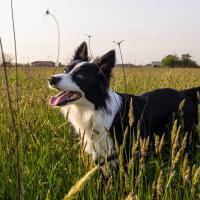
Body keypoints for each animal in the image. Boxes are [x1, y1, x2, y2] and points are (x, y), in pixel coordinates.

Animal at [48, 41, 198, 167]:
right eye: (66, 69)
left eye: (80, 76)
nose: (51, 79)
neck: (94, 110)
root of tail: (184, 93)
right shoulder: (100, 155)